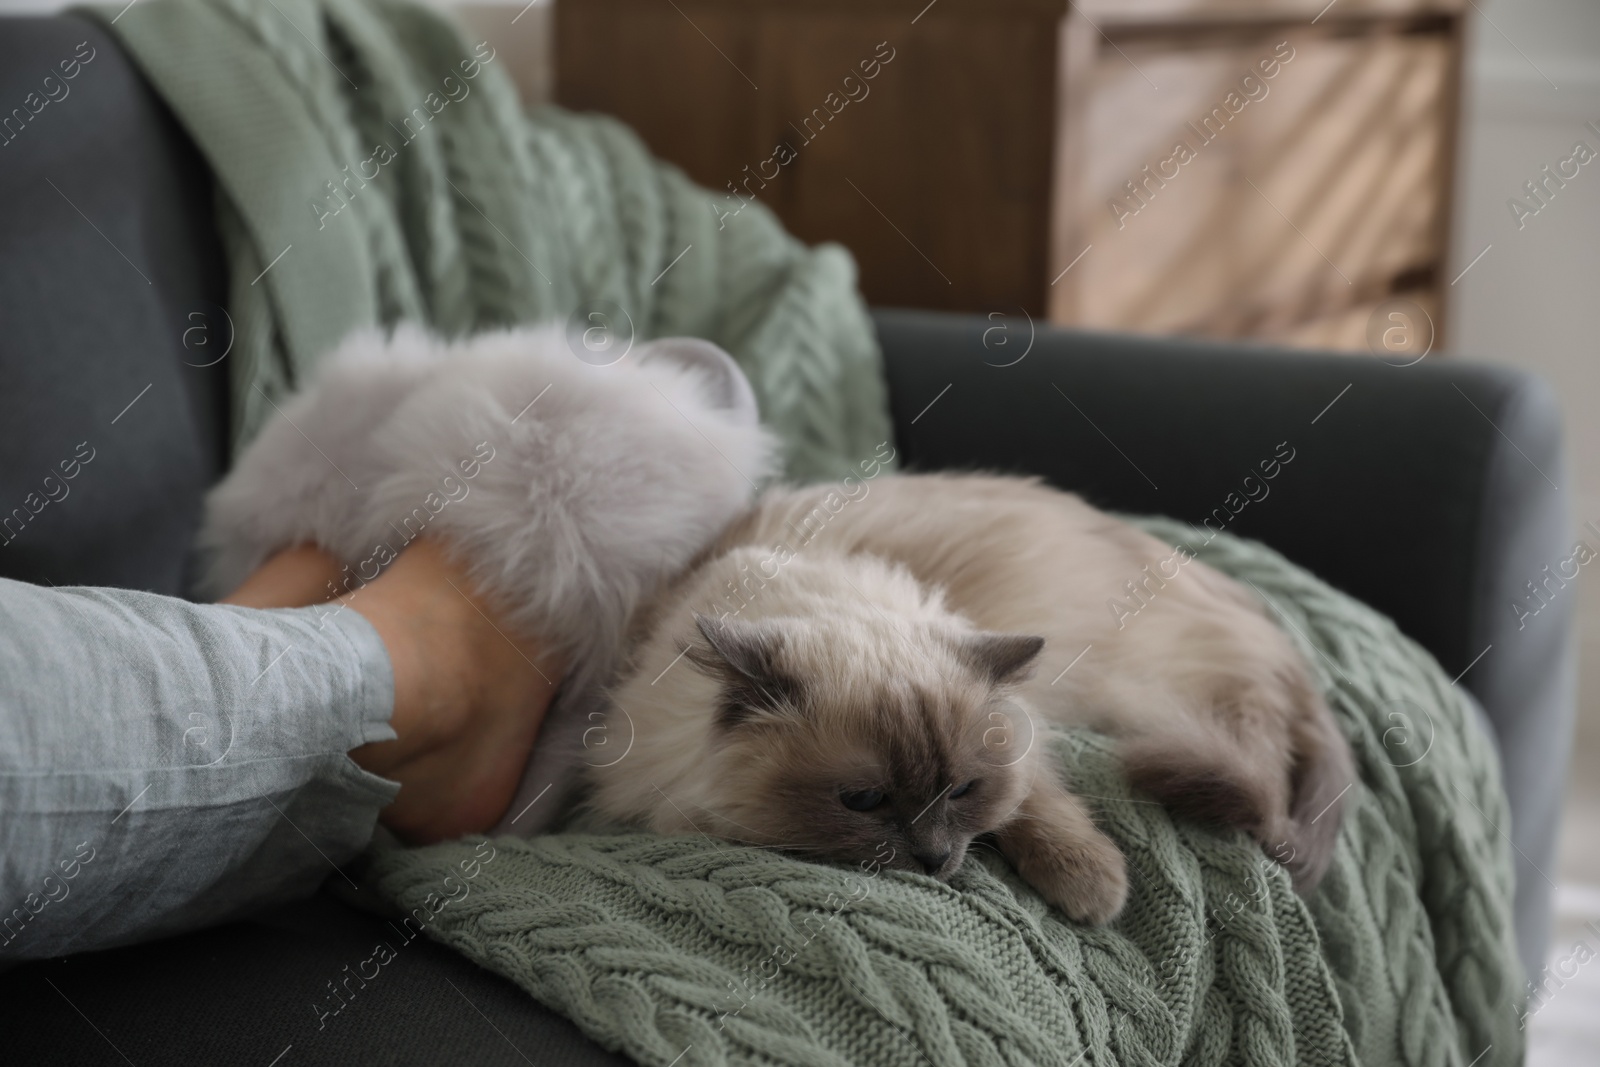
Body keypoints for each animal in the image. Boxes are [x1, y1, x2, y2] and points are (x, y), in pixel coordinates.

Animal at [588, 473, 1350, 927]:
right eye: (863, 801)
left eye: (960, 790)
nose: (932, 860)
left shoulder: (1028, 732)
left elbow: (1036, 803)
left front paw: (1093, 888)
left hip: (1149, 695)